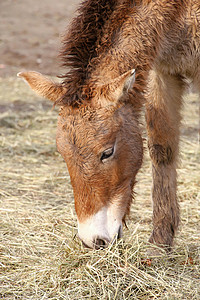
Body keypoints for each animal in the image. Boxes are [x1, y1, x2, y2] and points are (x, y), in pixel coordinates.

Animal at [18, 0, 198, 248]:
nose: (93, 240)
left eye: (107, 152)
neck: (178, 11)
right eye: (62, 154)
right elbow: (162, 149)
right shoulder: (164, 72)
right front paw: (160, 242)